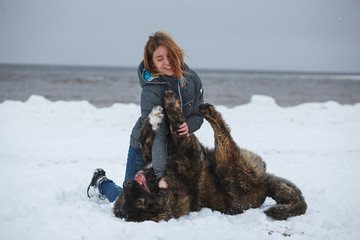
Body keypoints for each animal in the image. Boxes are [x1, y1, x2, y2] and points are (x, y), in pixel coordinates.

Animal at [113, 91, 306, 222]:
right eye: (139, 202)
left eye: (122, 196)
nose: (127, 183)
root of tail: (264, 185)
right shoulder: (192, 154)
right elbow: (179, 127)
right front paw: (170, 103)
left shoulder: (153, 156)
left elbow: (145, 137)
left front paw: (154, 117)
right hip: (228, 165)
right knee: (223, 134)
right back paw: (208, 111)